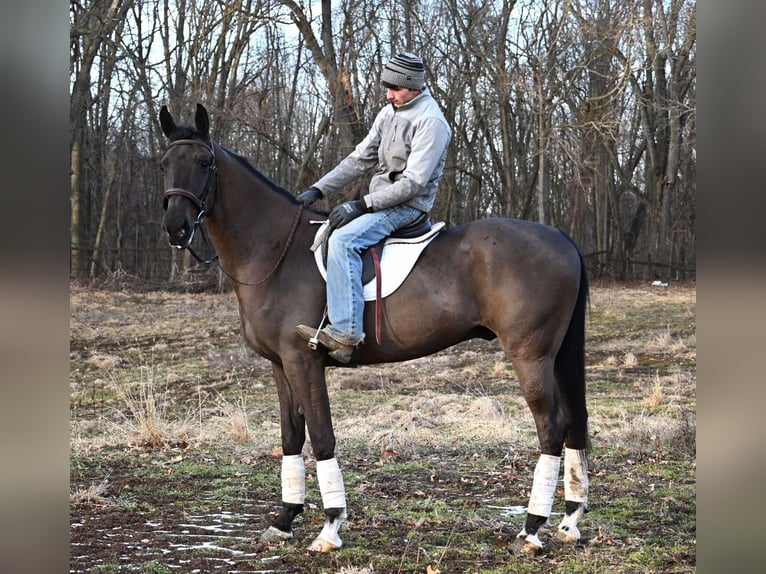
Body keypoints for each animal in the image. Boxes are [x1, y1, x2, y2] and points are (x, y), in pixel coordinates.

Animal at [159, 103, 590, 556]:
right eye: (164, 164)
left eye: (204, 163)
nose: (175, 227)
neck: (276, 250)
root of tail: (562, 238)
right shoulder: (280, 365)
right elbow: (291, 437)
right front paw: (284, 520)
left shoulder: (303, 361)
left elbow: (322, 437)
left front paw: (330, 527)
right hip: (556, 357)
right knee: (575, 424)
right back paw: (569, 521)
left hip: (531, 356)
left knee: (552, 429)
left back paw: (532, 528)